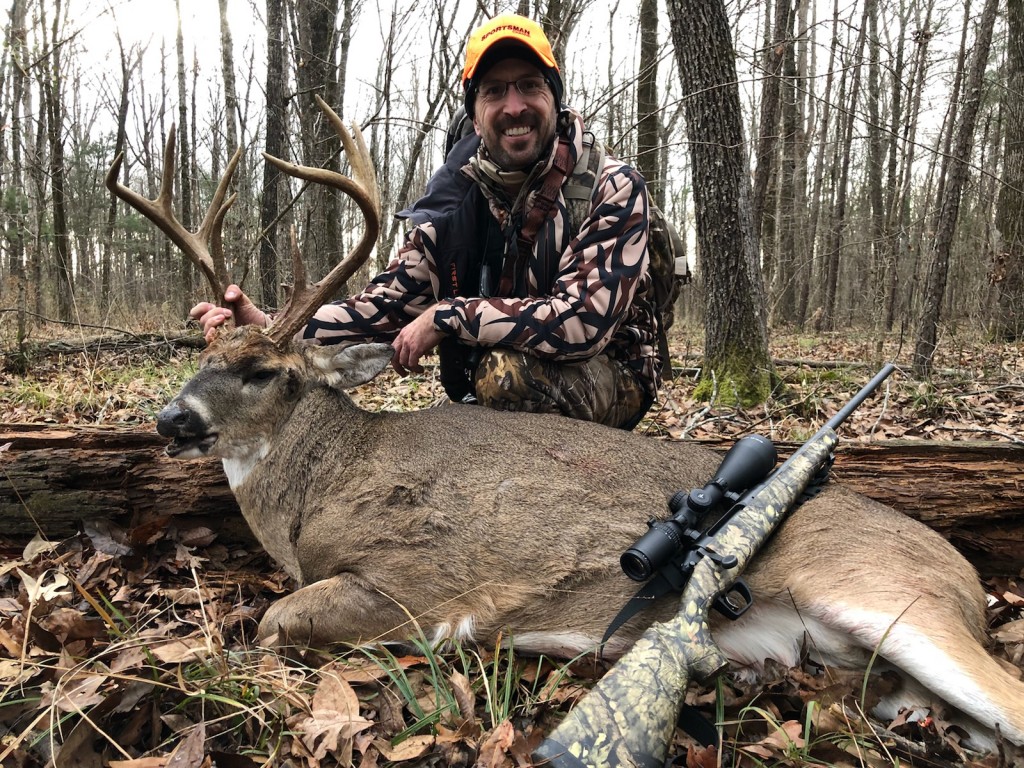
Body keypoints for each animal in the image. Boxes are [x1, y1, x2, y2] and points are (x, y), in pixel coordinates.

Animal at [106, 98, 1024, 755]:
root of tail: (970, 581)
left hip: (893, 595)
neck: (319, 490)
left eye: (264, 371)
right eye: (204, 348)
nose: (171, 417)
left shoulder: (411, 588)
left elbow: (270, 623)